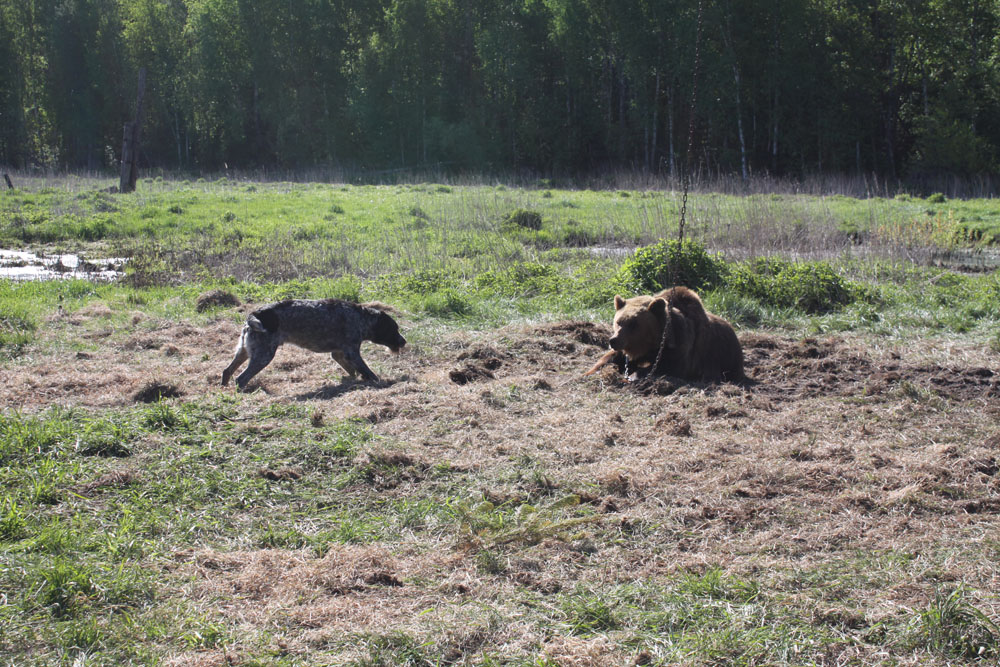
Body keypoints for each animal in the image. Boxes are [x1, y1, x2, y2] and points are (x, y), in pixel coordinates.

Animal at [221, 298, 404, 392]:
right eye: (394, 329)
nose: (404, 341)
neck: (362, 318)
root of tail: (256, 314)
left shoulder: (339, 354)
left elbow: (352, 371)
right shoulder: (352, 352)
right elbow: (368, 371)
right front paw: (378, 381)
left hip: (244, 352)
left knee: (227, 371)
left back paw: (223, 390)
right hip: (263, 356)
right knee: (240, 378)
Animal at [584, 286, 744, 380]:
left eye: (633, 324)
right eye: (618, 322)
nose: (613, 340)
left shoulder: (682, 348)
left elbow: (669, 365)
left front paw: (635, 375)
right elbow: (609, 358)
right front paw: (588, 372)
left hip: (725, 355)